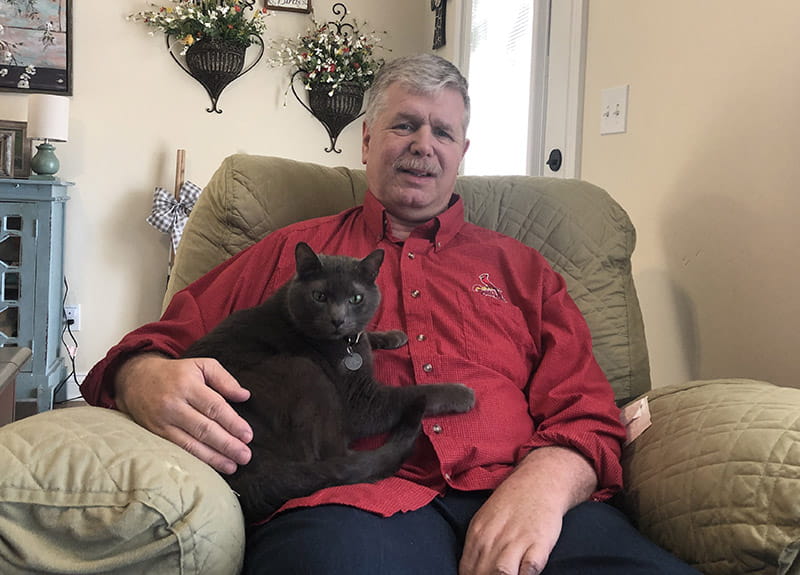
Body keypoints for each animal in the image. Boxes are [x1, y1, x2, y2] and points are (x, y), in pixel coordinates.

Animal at [183, 241, 476, 524]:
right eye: (320, 296)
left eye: (356, 298)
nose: (338, 319)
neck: (344, 344)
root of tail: (247, 476)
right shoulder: (362, 403)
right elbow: (415, 393)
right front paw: (463, 394)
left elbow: (366, 334)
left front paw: (393, 336)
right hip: (304, 371)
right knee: (337, 456)